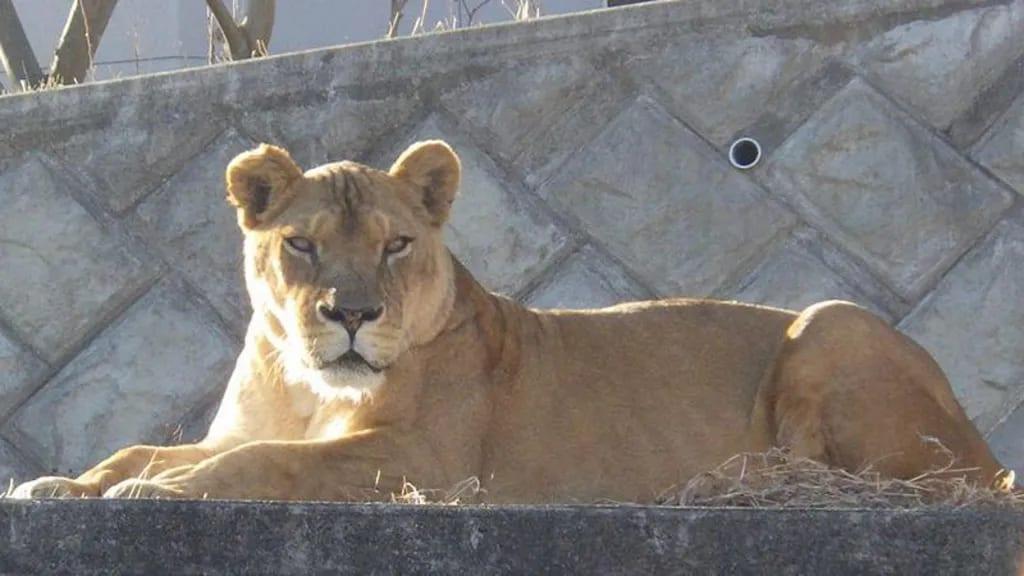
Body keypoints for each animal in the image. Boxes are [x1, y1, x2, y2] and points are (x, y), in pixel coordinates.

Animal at [12, 140, 1014, 503]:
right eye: (300, 244)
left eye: (396, 245)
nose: (350, 315)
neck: (306, 385)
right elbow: (147, 447)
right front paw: (64, 485)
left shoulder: (425, 462)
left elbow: (265, 464)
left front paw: (153, 494)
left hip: (831, 321)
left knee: (905, 483)